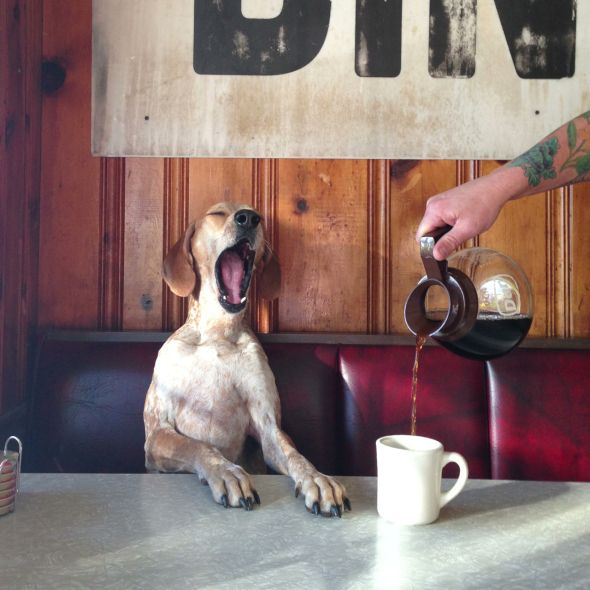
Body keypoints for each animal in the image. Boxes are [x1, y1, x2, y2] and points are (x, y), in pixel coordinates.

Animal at [145, 204, 352, 520]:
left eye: (257, 215)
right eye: (217, 213)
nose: (248, 218)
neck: (217, 334)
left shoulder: (268, 427)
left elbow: (295, 455)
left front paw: (317, 479)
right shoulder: (157, 433)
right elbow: (199, 446)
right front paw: (226, 471)